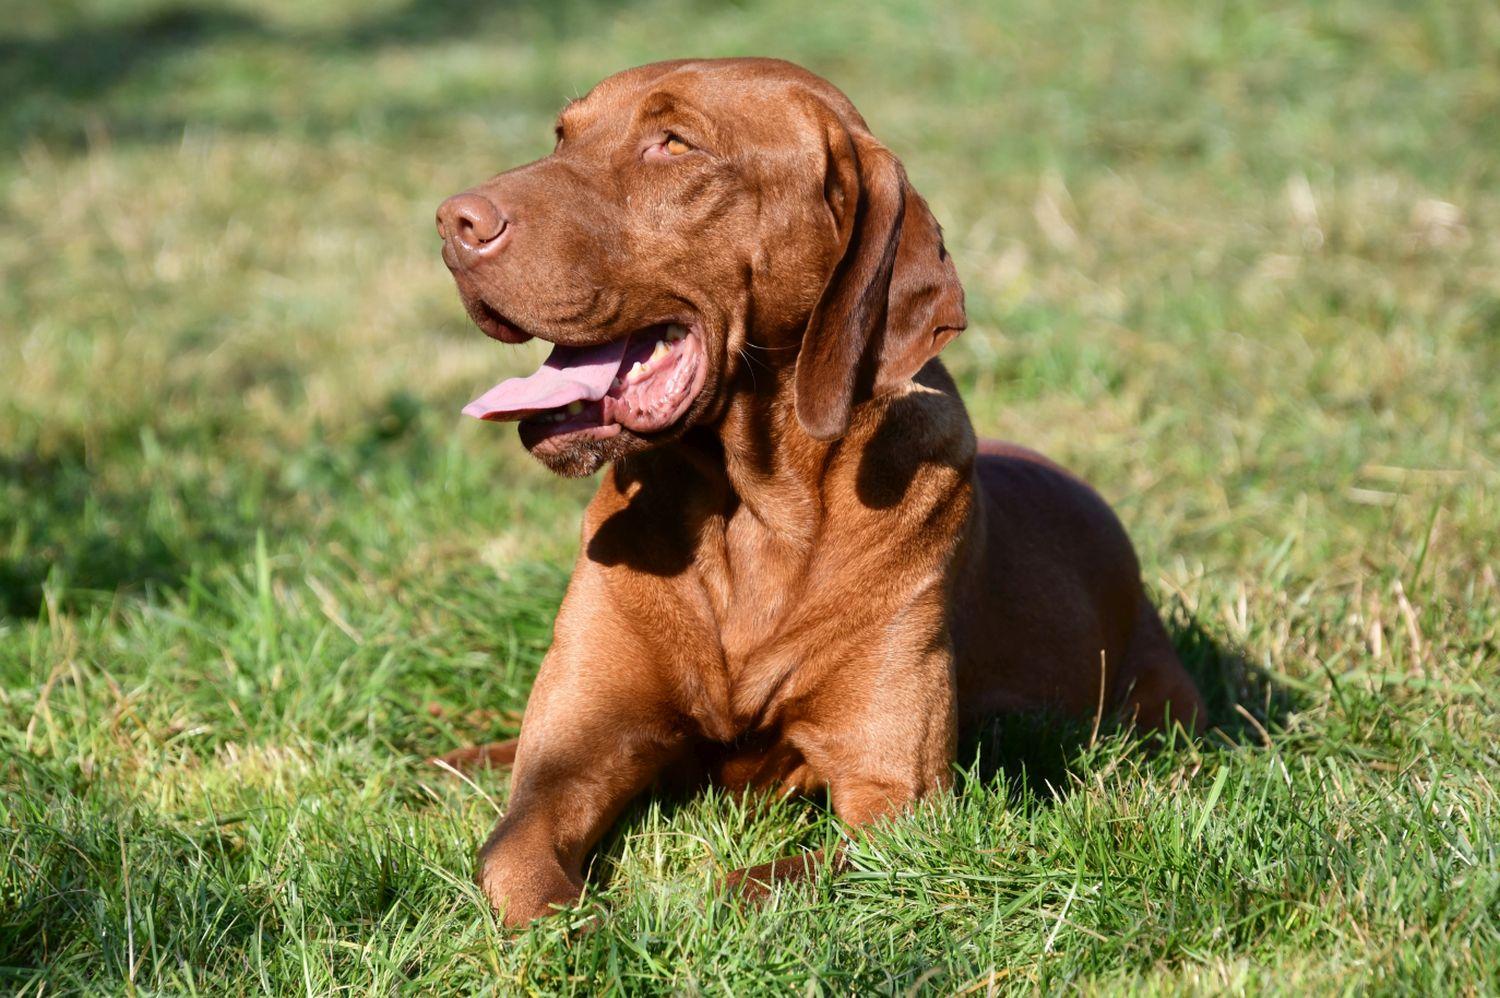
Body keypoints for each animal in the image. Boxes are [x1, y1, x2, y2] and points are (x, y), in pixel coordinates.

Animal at [435, 56, 1206, 924]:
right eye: (563, 135)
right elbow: (524, 869)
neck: (749, 513)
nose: (453, 223)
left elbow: (747, 887)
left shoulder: (899, 804)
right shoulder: (560, 771)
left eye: (675, 144)